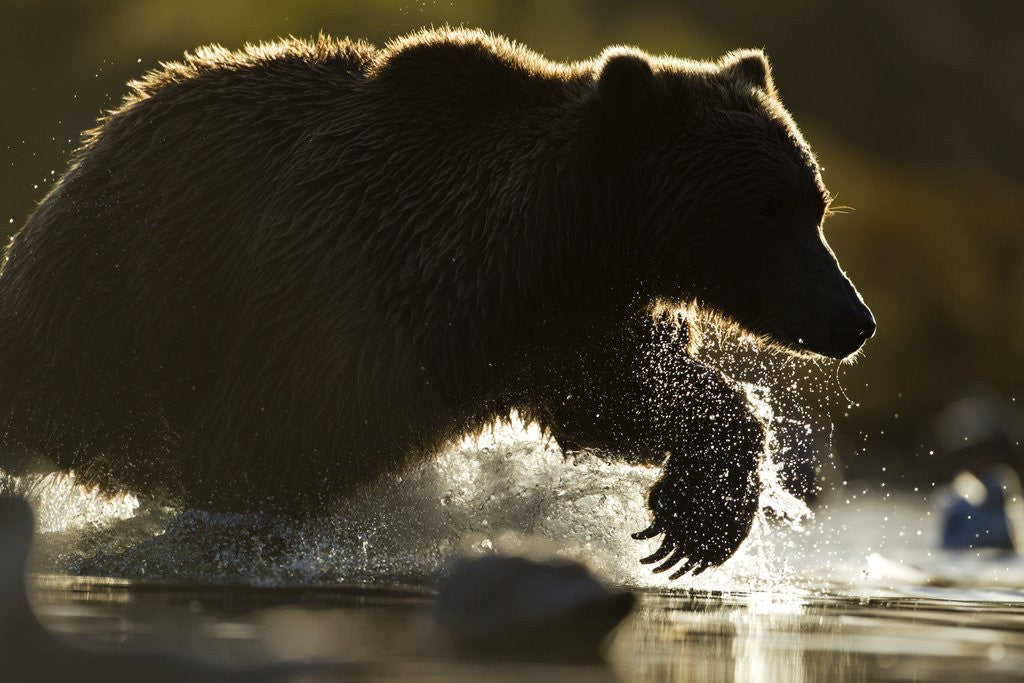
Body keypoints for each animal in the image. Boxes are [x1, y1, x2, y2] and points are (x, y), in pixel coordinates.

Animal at [0, 29, 874, 578]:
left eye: (815, 206)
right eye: (764, 210)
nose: (852, 319)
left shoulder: (570, 328)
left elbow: (623, 401)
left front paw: (695, 517)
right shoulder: (351, 297)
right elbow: (267, 441)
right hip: (107, 315)